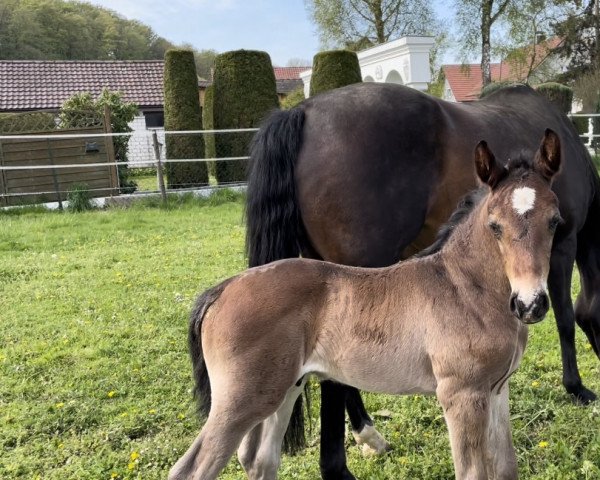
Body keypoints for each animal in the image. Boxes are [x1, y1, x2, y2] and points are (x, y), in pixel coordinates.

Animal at [170, 129, 564, 478]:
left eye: (555, 221)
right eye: (495, 225)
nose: (530, 304)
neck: (464, 287)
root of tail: (222, 288)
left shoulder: (497, 391)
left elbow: (506, 468)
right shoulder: (461, 395)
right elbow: (472, 473)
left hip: (283, 389)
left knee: (259, 459)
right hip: (241, 400)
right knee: (192, 469)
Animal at [244, 83, 600, 480]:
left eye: (551, 220)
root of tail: (302, 110)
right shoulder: (565, 246)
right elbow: (567, 319)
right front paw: (577, 387)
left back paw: (367, 434)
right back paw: (340, 463)